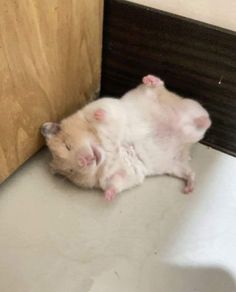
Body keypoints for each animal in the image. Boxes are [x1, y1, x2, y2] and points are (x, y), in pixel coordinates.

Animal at [41, 74, 211, 200]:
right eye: (71, 171)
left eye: (68, 146)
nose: (84, 161)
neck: (105, 150)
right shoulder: (121, 174)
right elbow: (117, 184)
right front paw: (108, 196)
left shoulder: (104, 107)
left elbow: (102, 114)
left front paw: (98, 115)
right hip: (175, 165)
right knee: (191, 167)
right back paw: (188, 189)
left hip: (182, 104)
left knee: (159, 88)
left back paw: (149, 79)